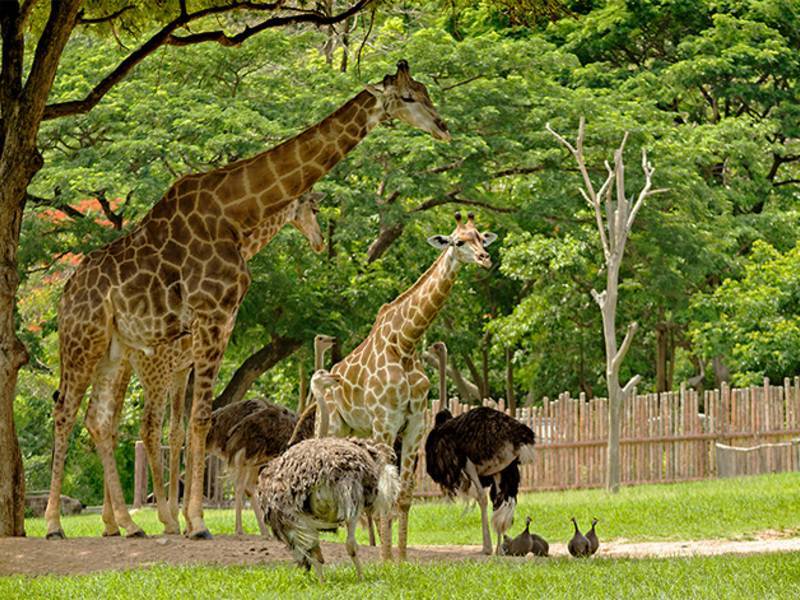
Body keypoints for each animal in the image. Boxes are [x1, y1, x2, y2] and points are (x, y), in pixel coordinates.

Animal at [43, 59, 450, 540]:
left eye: (425, 91)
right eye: (407, 97)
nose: (443, 127)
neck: (236, 212)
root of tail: (65, 294)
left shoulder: (220, 319)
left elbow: (191, 421)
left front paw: (183, 519)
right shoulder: (214, 314)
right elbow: (199, 418)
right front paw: (196, 523)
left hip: (114, 348)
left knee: (100, 419)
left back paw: (128, 524)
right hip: (82, 339)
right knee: (66, 411)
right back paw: (55, 524)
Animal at [318, 213, 494, 560]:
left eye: (481, 237)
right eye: (458, 241)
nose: (485, 258)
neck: (406, 342)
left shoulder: (414, 425)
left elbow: (404, 493)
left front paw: (400, 560)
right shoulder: (385, 424)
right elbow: (386, 490)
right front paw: (386, 560)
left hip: (353, 430)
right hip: (333, 424)